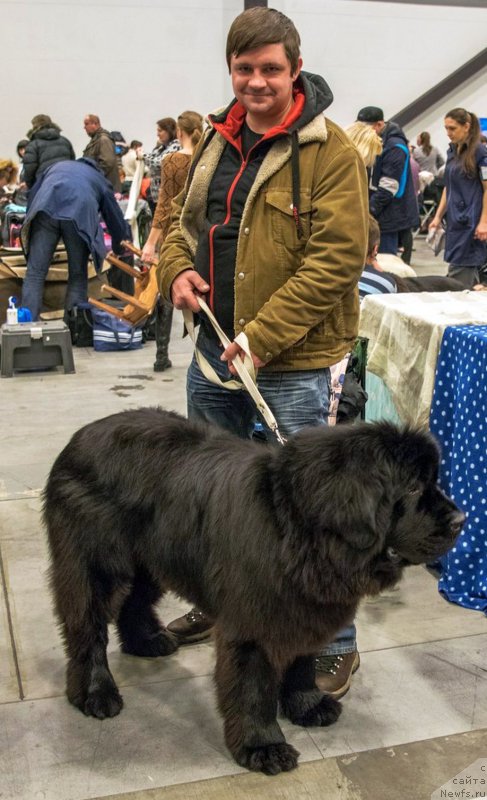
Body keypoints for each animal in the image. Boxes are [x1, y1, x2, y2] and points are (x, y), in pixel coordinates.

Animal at [43, 410, 464, 772]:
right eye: (413, 486)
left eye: (433, 481)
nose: (462, 519)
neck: (295, 527)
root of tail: (79, 437)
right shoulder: (252, 624)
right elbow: (253, 688)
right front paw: (263, 745)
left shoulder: (303, 609)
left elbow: (301, 664)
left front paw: (307, 706)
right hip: (94, 565)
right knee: (87, 627)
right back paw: (95, 693)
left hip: (153, 558)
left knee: (134, 601)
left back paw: (145, 642)